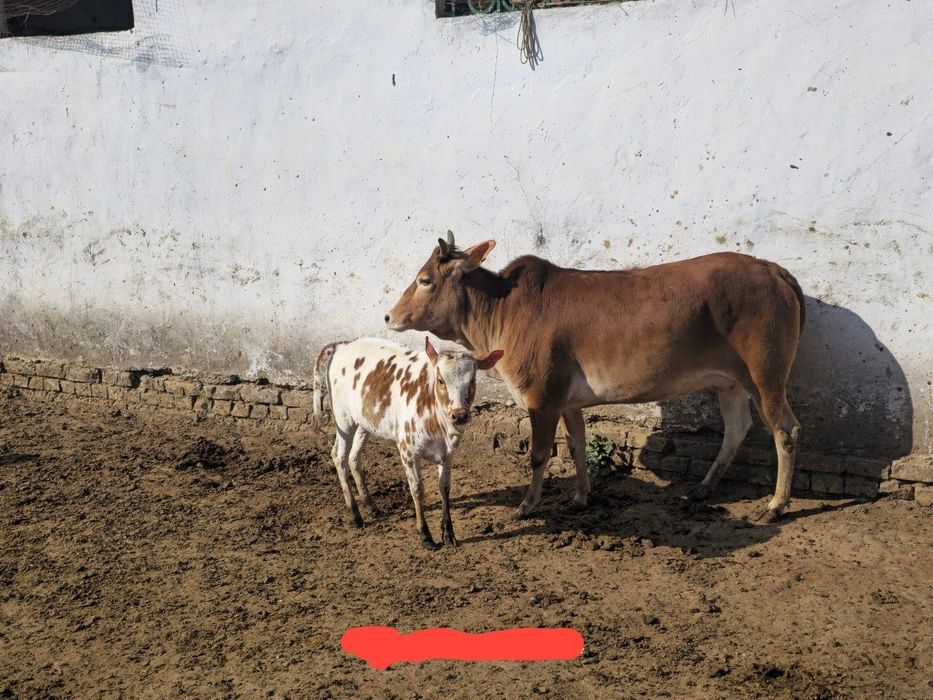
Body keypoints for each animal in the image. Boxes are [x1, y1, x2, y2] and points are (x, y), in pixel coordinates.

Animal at [311, 336, 503, 549]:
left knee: (354, 457)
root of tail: (343, 344)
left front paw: (448, 533)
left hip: (365, 422)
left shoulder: (447, 454)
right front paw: (425, 535)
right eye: (441, 380)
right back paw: (355, 514)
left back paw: (371, 506)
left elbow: (444, 488)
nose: (460, 415)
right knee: (339, 457)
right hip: (344, 420)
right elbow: (417, 490)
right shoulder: (407, 451)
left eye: (472, 381)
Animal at [385, 231, 805, 523]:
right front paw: (580, 497)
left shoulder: (542, 398)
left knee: (785, 430)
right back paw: (701, 489)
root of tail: (773, 269)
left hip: (765, 374)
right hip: (730, 381)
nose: (389, 316)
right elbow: (576, 446)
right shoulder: (568, 401)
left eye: (425, 280)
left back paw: (776, 505)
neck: (502, 310)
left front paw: (527, 504)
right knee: (737, 429)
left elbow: (539, 455)